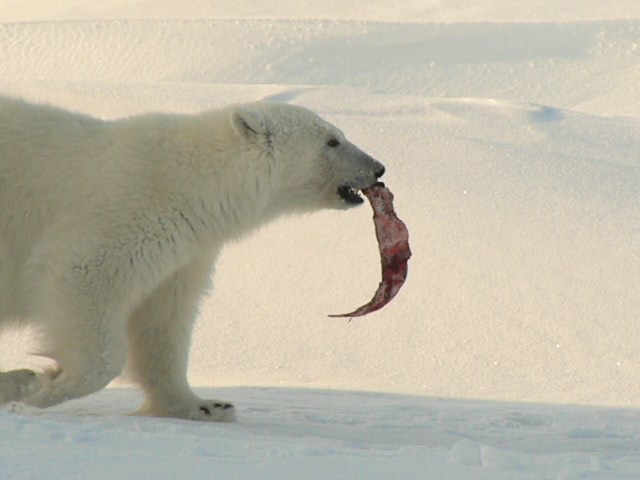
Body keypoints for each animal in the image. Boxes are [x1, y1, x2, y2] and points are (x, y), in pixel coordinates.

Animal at [0, 96, 384, 420]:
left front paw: (204, 405)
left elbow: (163, 321)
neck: (191, 181)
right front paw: (37, 387)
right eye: (332, 141)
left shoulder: (184, 252)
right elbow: (85, 279)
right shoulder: (121, 214)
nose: (378, 167)